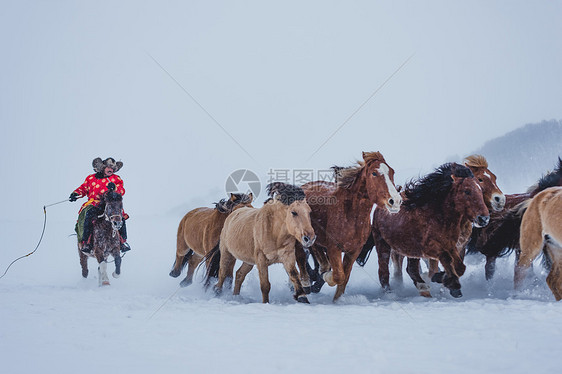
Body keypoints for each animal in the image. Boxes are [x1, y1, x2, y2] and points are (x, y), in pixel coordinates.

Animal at [296, 150, 400, 300]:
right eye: (374, 173)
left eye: (392, 172)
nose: (395, 201)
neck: (351, 217)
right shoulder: (334, 248)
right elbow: (339, 276)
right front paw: (327, 276)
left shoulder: (354, 251)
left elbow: (344, 280)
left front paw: (337, 301)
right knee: (304, 254)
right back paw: (309, 280)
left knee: (316, 250)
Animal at [370, 164, 488, 298]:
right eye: (467, 191)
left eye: (481, 191)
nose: (483, 218)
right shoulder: (432, 249)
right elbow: (446, 262)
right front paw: (447, 282)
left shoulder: (456, 247)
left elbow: (459, 267)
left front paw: (447, 283)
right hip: (383, 244)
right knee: (384, 272)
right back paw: (394, 293)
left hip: (410, 251)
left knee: (410, 269)